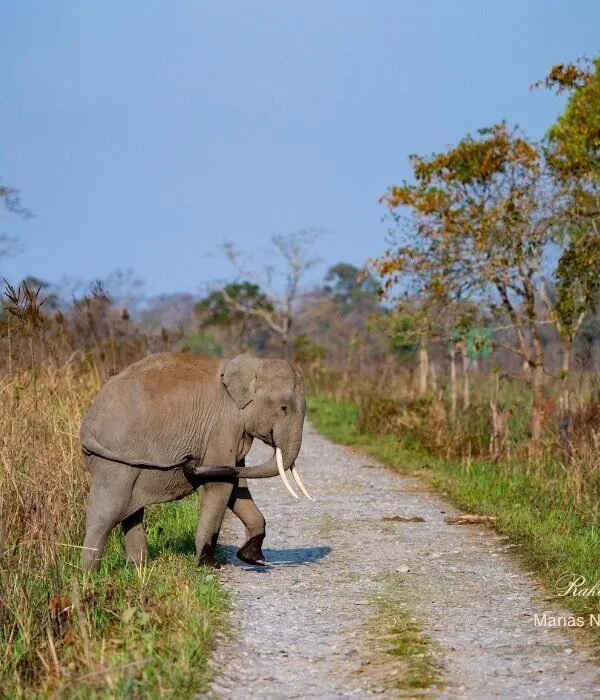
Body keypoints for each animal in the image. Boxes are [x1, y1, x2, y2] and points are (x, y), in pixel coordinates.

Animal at [79, 352, 311, 571]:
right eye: (283, 408)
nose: (189, 461)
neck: (255, 363)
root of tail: (87, 424)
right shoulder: (223, 424)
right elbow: (222, 485)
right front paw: (209, 564)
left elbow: (236, 483)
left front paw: (253, 558)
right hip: (114, 457)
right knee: (108, 512)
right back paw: (88, 575)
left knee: (131, 511)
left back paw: (139, 568)